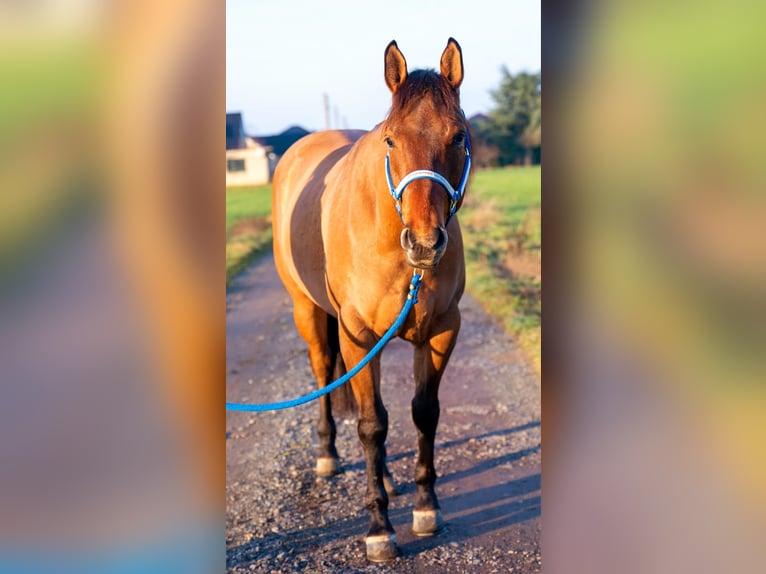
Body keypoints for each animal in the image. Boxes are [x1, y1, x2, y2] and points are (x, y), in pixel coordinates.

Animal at [272, 36, 472, 564]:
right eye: (390, 140)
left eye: (458, 137)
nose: (424, 243)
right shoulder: (357, 335)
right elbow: (370, 426)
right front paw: (379, 529)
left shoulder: (441, 330)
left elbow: (423, 413)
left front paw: (426, 508)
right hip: (310, 314)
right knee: (327, 374)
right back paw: (328, 457)